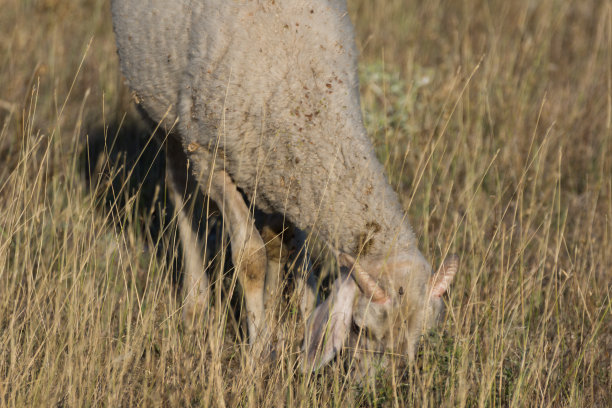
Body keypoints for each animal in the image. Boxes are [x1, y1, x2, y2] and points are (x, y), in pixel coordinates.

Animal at [110, 0, 456, 370]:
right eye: (360, 327)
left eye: (422, 335)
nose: (382, 381)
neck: (306, 94)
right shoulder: (210, 159)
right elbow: (250, 259)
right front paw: (259, 347)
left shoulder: (283, 173)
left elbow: (282, 245)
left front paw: (285, 323)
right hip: (165, 119)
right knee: (181, 193)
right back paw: (195, 304)